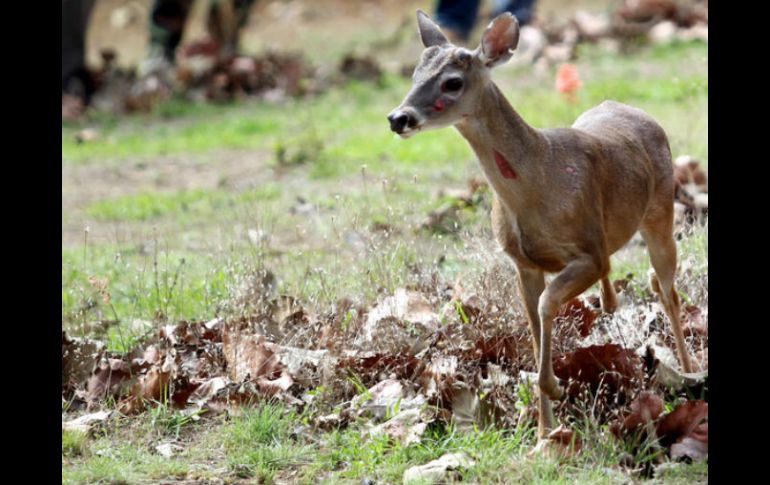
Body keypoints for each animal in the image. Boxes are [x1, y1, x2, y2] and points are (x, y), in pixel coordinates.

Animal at [388, 10, 692, 442]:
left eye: (452, 81)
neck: (537, 183)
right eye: (415, 73)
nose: (398, 118)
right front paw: (544, 432)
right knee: (629, 289)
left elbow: (550, 303)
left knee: (668, 291)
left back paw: (688, 371)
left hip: (661, 210)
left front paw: (556, 388)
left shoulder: (588, 252)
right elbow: (533, 332)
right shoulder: (523, 263)